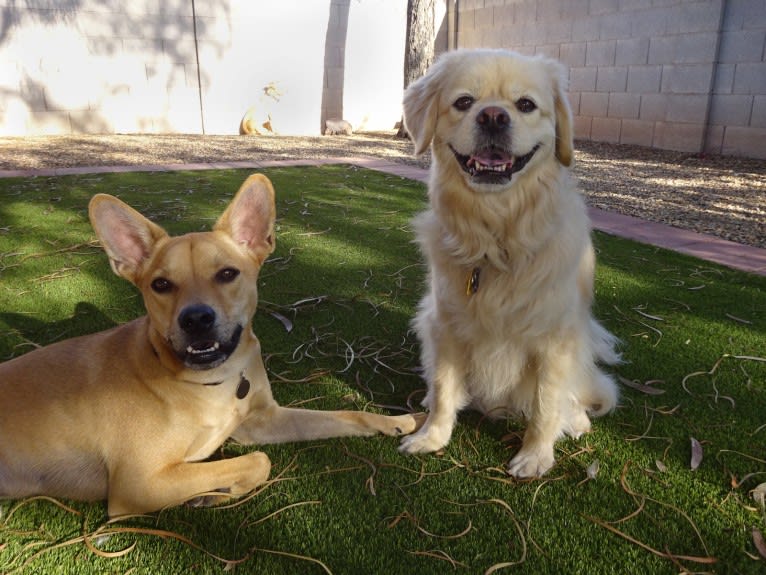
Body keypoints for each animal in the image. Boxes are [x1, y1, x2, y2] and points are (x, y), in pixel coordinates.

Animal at [0, 174, 424, 516]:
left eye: (227, 274)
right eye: (161, 284)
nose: (196, 319)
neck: (211, 382)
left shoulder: (263, 419)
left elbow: (344, 416)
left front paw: (401, 421)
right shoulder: (139, 483)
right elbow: (258, 461)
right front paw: (214, 491)